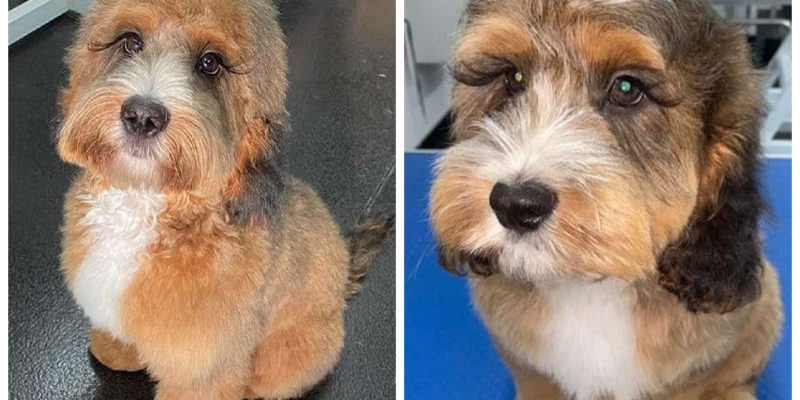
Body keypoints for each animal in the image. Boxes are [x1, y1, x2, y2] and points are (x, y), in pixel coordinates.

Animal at [57, 1, 394, 398]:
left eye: (210, 63)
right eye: (130, 41)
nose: (142, 116)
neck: (148, 201)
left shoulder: (204, 366)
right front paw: (116, 350)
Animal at [432, 0, 780, 400]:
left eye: (627, 87)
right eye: (513, 77)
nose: (515, 204)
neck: (591, 286)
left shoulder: (694, 371)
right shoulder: (530, 369)